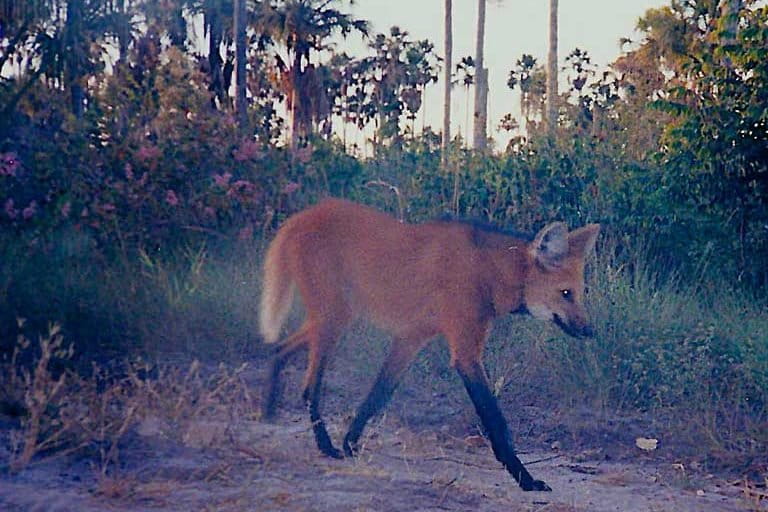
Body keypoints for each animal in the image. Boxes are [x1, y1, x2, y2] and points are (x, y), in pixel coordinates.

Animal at [258, 197, 600, 492]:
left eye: (579, 293)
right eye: (566, 293)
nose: (590, 331)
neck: (488, 273)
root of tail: (304, 215)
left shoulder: (412, 337)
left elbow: (378, 394)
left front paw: (351, 442)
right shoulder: (465, 353)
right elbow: (495, 421)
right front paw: (526, 480)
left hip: (335, 317)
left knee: (280, 348)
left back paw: (269, 409)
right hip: (335, 319)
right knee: (309, 386)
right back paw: (324, 446)